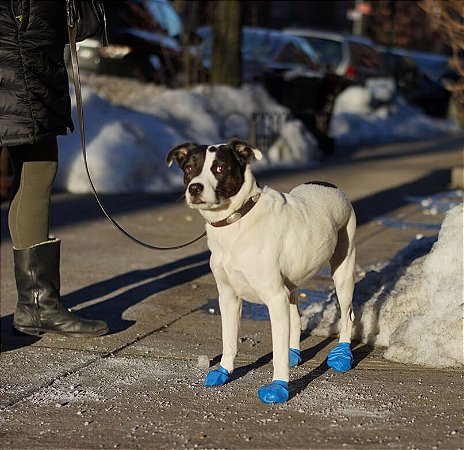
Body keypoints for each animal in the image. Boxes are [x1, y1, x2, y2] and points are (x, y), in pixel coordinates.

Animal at [169, 139, 358, 402]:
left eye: (220, 168)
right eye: (188, 168)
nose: (195, 188)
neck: (237, 221)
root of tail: (330, 184)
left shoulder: (274, 298)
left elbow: (276, 351)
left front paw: (279, 386)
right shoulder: (228, 297)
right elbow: (229, 340)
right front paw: (224, 371)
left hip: (343, 272)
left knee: (348, 315)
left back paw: (342, 355)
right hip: (291, 283)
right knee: (295, 317)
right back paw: (294, 352)